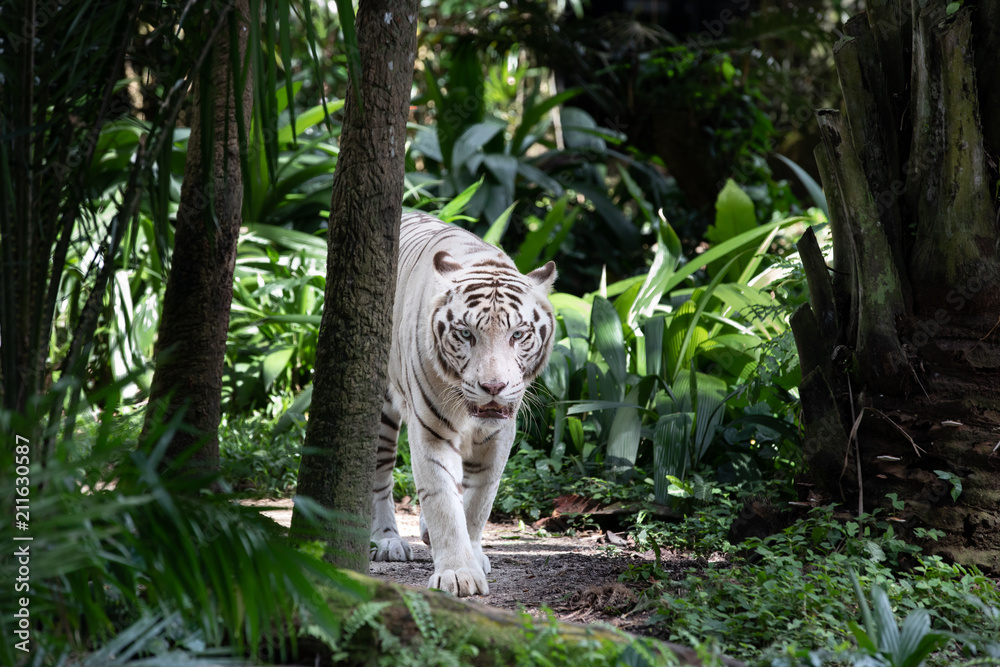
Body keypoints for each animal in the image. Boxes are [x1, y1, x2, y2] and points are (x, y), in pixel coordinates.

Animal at [372, 211, 560, 596]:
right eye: (465, 334)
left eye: (518, 334)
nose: (493, 386)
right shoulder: (430, 432)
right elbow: (443, 502)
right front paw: (459, 574)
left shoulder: (500, 435)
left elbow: (477, 504)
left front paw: (473, 556)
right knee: (381, 474)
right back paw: (387, 541)